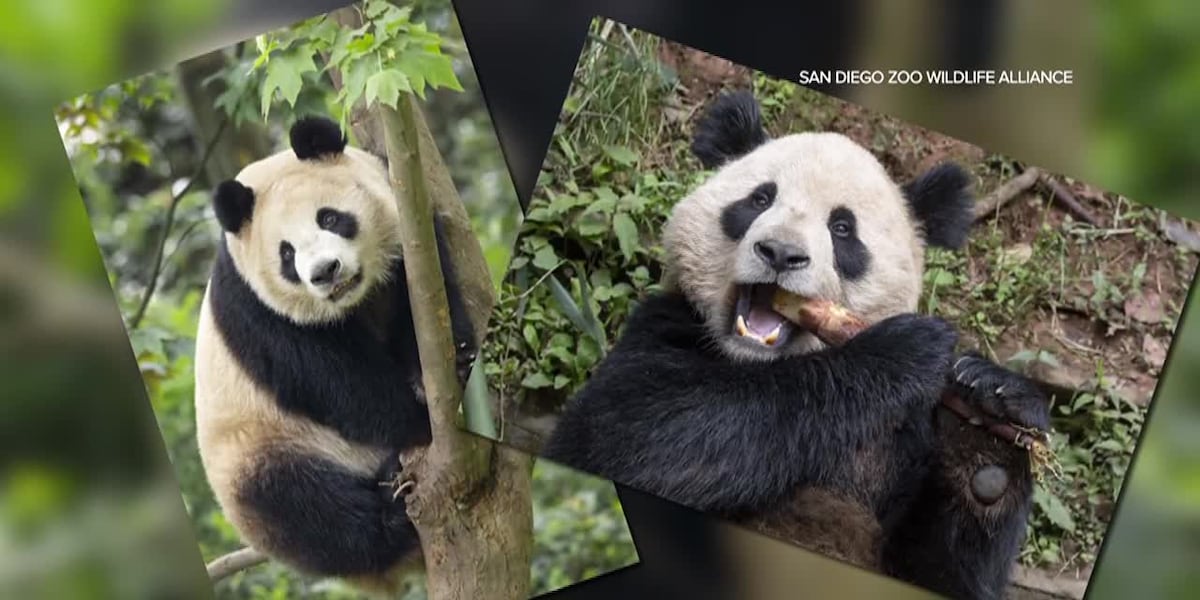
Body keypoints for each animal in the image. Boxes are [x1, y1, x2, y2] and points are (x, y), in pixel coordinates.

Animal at [193, 116, 477, 594]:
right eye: (286, 253)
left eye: (329, 217)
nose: (325, 272)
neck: (355, 301)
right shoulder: (257, 311)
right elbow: (340, 383)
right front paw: (419, 420)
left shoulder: (411, 228)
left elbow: (427, 302)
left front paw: (452, 364)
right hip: (255, 452)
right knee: (300, 506)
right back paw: (392, 510)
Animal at [543, 91, 1050, 600]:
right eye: (759, 199)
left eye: (843, 229)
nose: (781, 254)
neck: (759, 362)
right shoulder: (664, 326)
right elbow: (639, 434)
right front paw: (904, 349)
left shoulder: (902, 441)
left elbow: (944, 574)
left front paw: (990, 415)